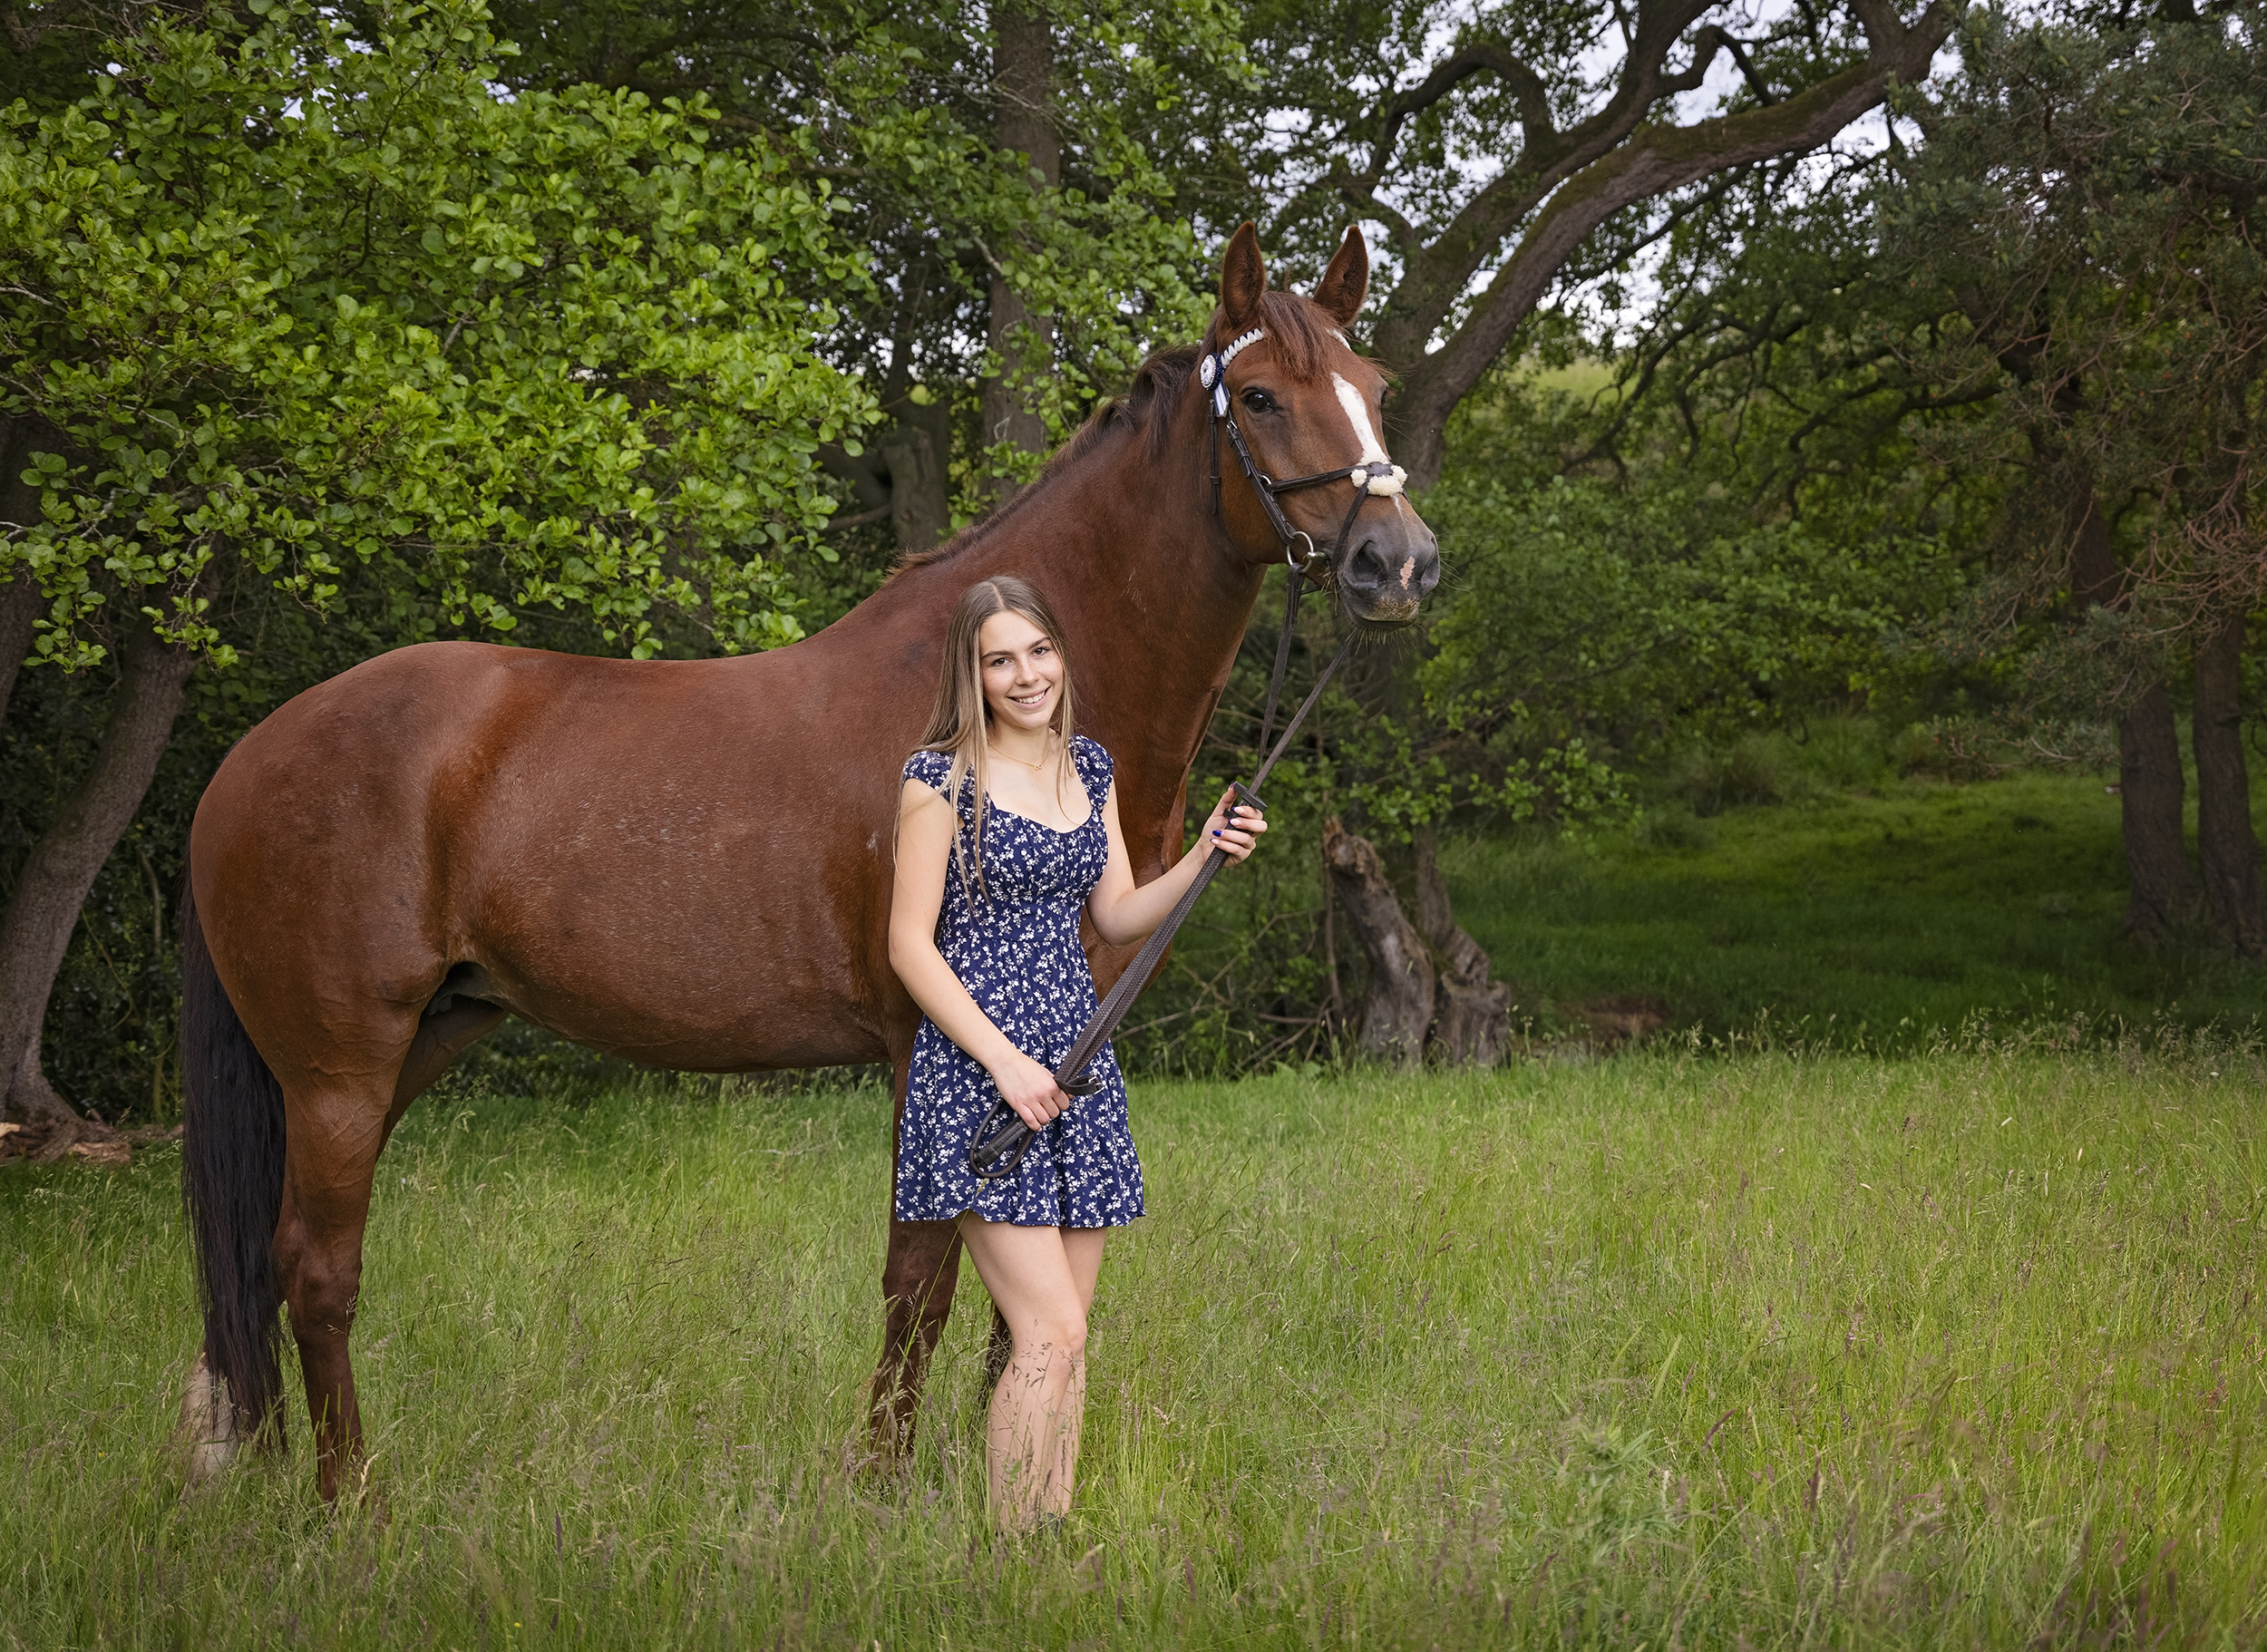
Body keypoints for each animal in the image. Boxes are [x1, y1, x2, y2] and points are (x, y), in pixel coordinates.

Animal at [177, 221, 1441, 1500]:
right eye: (1264, 397)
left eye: (1374, 388)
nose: (1396, 565)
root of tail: (247, 759)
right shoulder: (929, 1045)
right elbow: (920, 1284)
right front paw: (881, 1486)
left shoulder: (1063, 1055)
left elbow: (1008, 1303)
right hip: (341, 1066)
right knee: (318, 1267)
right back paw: (347, 1498)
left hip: (413, 1040)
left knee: (267, 1256)